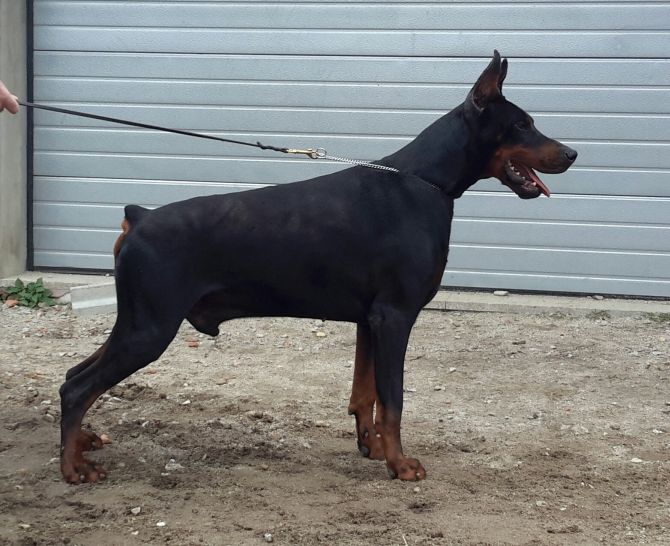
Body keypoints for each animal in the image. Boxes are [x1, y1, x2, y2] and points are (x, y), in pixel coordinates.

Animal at [59, 51, 577, 484]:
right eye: (523, 125)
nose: (572, 154)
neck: (424, 182)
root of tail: (139, 217)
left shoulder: (371, 319)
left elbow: (366, 395)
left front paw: (371, 446)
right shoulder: (395, 316)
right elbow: (393, 399)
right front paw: (400, 465)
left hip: (138, 322)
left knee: (73, 375)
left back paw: (83, 443)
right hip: (150, 327)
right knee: (77, 388)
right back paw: (72, 468)